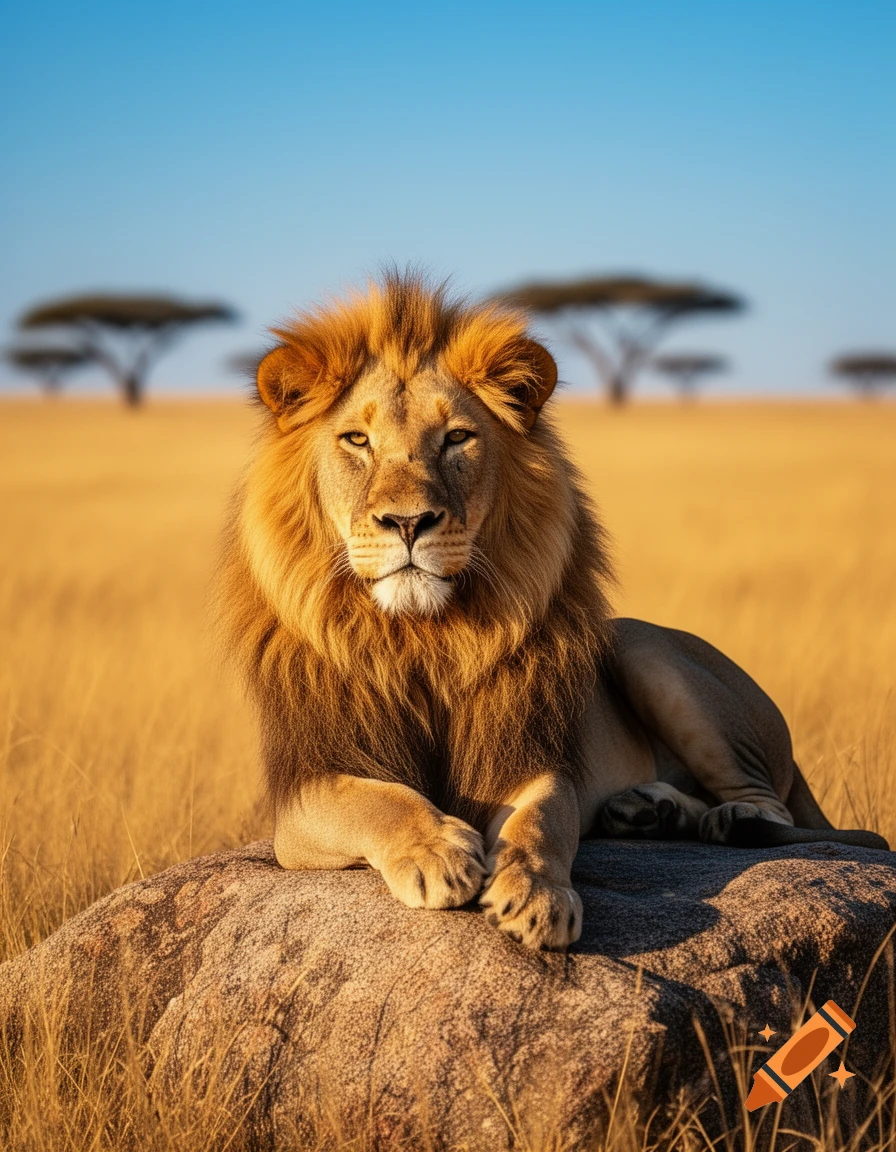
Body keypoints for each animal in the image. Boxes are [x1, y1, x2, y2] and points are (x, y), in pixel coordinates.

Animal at [217, 271, 887, 951]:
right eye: (357, 439)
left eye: (457, 438)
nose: (408, 522)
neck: (423, 636)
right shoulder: (304, 792)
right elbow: (377, 799)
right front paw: (436, 851)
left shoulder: (532, 760)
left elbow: (538, 825)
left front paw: (537, 895)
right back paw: (648, 811)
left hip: (643, 648)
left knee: (768, 804)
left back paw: (727, 818)